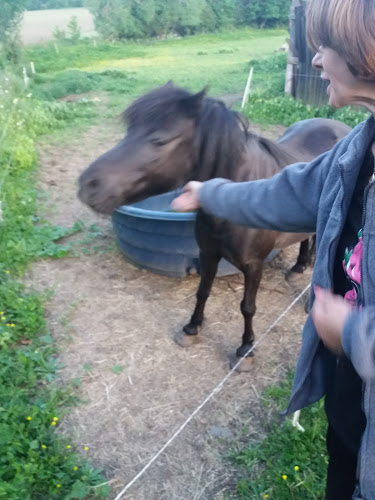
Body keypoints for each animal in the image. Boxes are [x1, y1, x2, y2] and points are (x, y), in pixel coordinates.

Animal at [78, 83, 352, 368]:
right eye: (129, 131)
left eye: (160, 140)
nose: (88, 184)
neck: (236, 198)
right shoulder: (208, 253)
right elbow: (202, 292)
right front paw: (191, 328)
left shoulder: (253, 265)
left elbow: (247, 306)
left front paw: (245, 349)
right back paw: (298, 267)